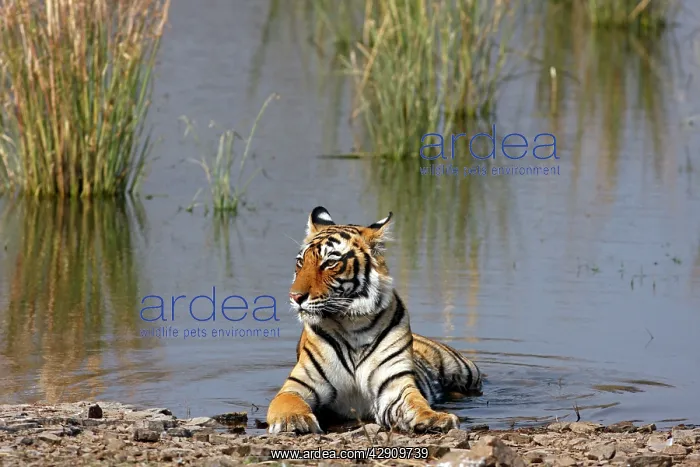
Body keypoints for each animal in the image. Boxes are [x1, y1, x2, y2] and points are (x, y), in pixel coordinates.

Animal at [266, 206, 482, 435]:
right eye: (300, 262)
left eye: (330, 263)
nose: (295, 297)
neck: (352, 324)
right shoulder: (299, 385)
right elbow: (288, 401)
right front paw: (293, 420)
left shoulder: (394, 385)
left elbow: (416, 403)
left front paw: (435, 418)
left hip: (467, 372)